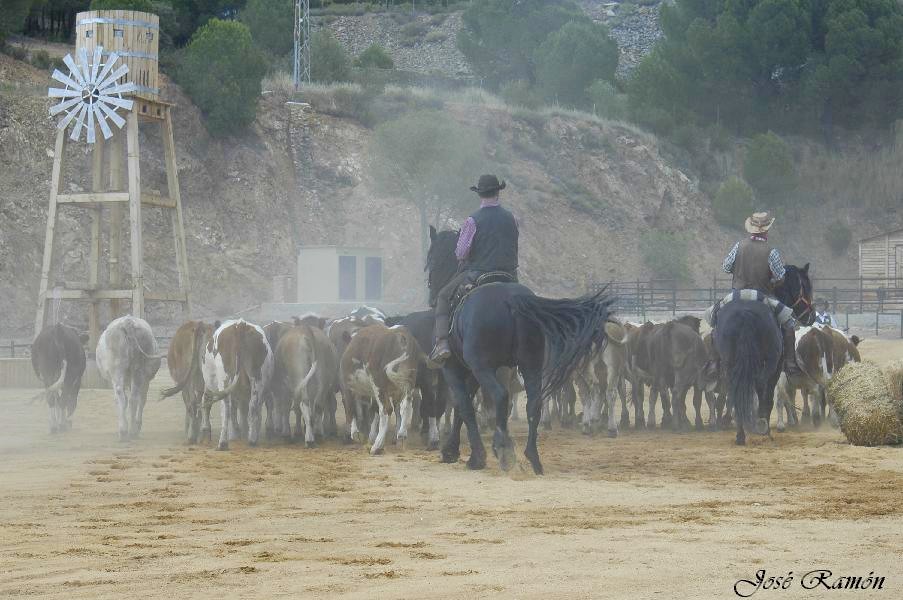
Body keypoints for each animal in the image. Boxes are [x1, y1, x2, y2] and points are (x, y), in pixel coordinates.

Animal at [340, 324, 426, 454]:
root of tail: (401, 334)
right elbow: (374, 409)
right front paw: (370, 436)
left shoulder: (348, 385)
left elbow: (351, 409)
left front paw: (355, 434)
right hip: (408, 381)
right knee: (405, 406)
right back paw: (401, 436)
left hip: (379, 384)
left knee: (386, 410)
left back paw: (377, 446)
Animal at [430, 227, 616, 476]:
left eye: (431, 260)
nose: (432, 295)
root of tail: (512, 300)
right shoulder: (473, 373)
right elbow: (463, 406)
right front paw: (453, 450)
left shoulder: (456, 368)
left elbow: (464, 406)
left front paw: (471, 456)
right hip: (530, 365)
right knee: (534, 404)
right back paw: (533, 458)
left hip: (484, 367)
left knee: (501, 396)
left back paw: (503, 448)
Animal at [716, 262, 816, 446]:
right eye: (806, 287)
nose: (811, 316)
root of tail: (745, 312)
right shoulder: (776, 368)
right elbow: (768, 395)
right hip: (770, 363)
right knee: (762, 387)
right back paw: (762, 426)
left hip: (729, 362)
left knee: (735, 389)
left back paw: (739, 432)